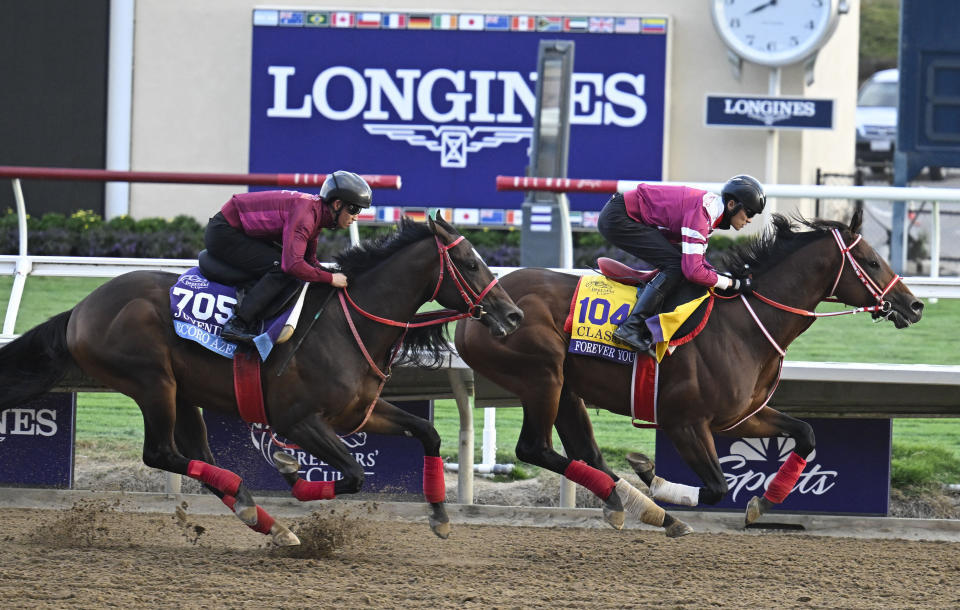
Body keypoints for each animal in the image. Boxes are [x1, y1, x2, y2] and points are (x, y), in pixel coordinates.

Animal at [1, 214, 524, 540]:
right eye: (471, 263)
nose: (514, 315)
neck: (347, 324)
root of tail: (81, 310)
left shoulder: (360, 413)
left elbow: (427, 432)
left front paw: (440, 517)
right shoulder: (299, 419)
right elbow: (354, 474)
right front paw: (293, 474)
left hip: (182, 393)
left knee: (197, 456)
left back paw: (265, 519)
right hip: (152, 383)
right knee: (161, 454)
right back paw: (262, 512)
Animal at [456, 208, 924, 532]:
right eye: (872, 260)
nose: (914, 304)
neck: (744, 324)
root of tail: (478, 306)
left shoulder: (740, 417)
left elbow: (805, 434)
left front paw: (764, 501)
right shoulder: (685, 422)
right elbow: (717, 488)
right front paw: (655, 479)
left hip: (567, 388)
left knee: (585, 453)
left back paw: (631, 504)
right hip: (542, 378)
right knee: (534, 449)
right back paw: (647, 506)